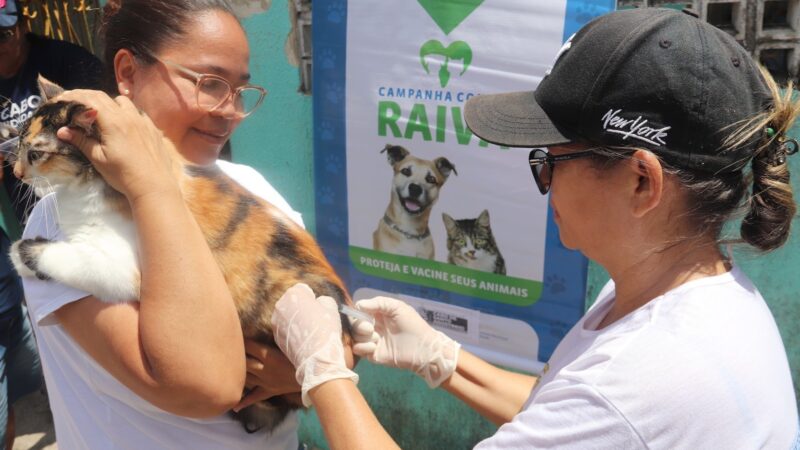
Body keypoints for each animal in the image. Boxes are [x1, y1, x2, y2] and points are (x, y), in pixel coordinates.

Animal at [2, 79, 354, 434]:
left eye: (35, 154)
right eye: (17, 146)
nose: (16, 173)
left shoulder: (123, 267)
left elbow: (74, 258)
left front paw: (21, 252)